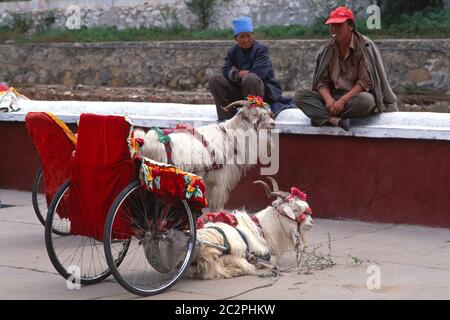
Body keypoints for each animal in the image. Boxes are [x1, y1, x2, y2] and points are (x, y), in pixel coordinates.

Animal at [134, 97, 274, 212]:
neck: (230, 137)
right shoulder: (221, 180)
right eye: (255, 113)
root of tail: (144, 141)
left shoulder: (210, 181)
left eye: (267, 113)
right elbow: (216, 206)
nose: (273, 123)